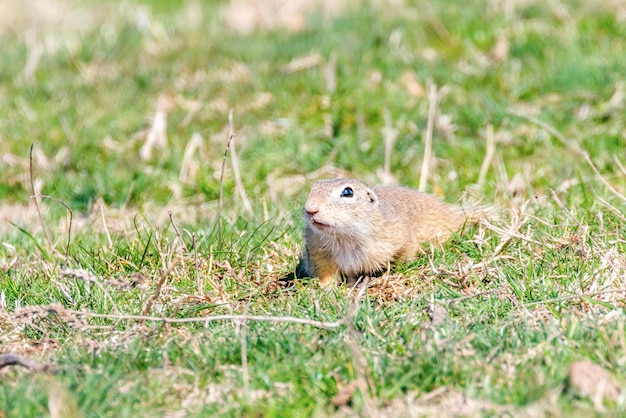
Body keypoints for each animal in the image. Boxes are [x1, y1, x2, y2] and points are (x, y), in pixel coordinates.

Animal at [294, 178, 476, 286]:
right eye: (313, 188)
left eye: (347, 192)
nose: (310, 209)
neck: (344, 237)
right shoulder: (318, 253)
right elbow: (325, 273)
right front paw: (325, 288)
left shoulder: (397, 237)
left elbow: (404, 254)